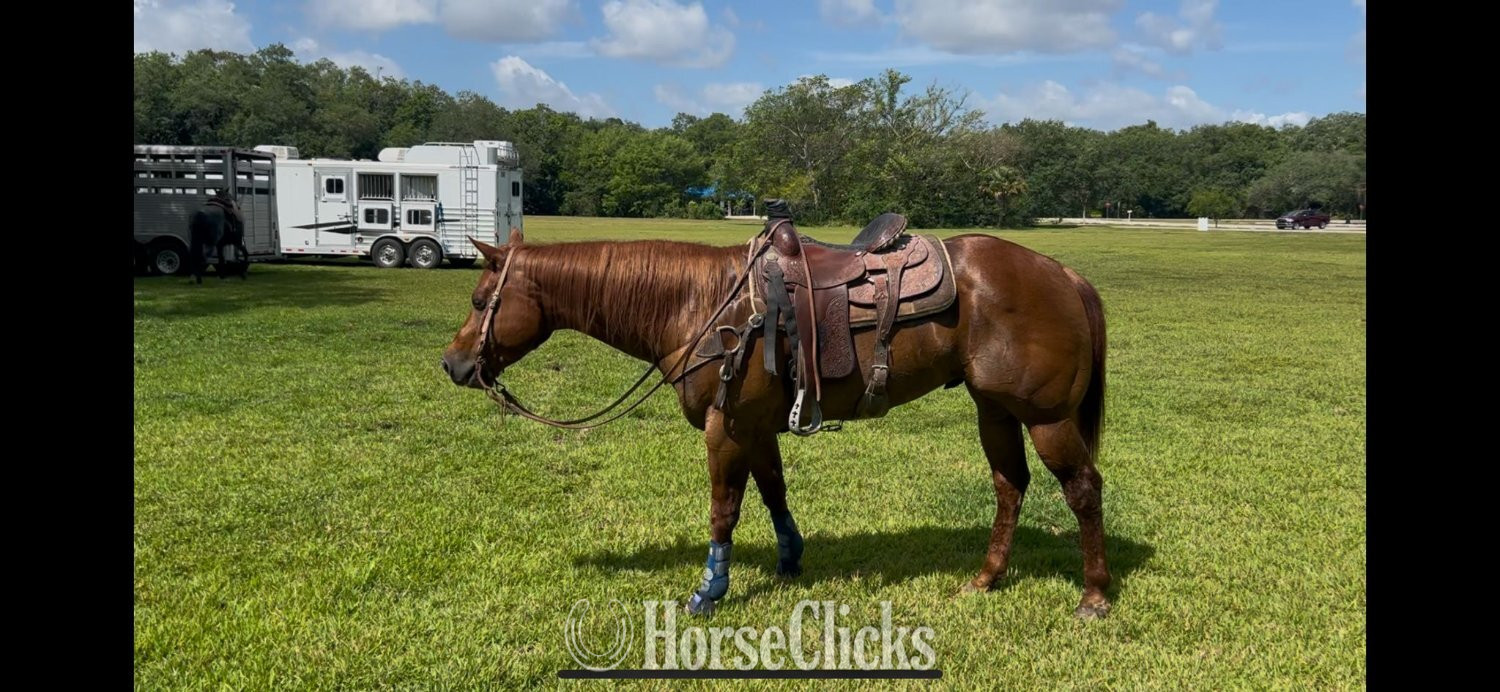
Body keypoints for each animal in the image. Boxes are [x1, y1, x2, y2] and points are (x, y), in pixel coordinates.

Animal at [441, 225, 1112, 619]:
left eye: (478, 301)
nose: (453, 363)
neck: (700, 305)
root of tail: (1064, 274)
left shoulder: (727, 427)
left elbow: (725, 509)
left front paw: (709, 591)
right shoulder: (757, 427)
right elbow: (773, 492)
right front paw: (790, 560)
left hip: (1046, 416)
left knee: (1082, 489)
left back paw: (1094, 595)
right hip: (994, 409)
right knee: (1009, 486)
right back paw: (985, 579)